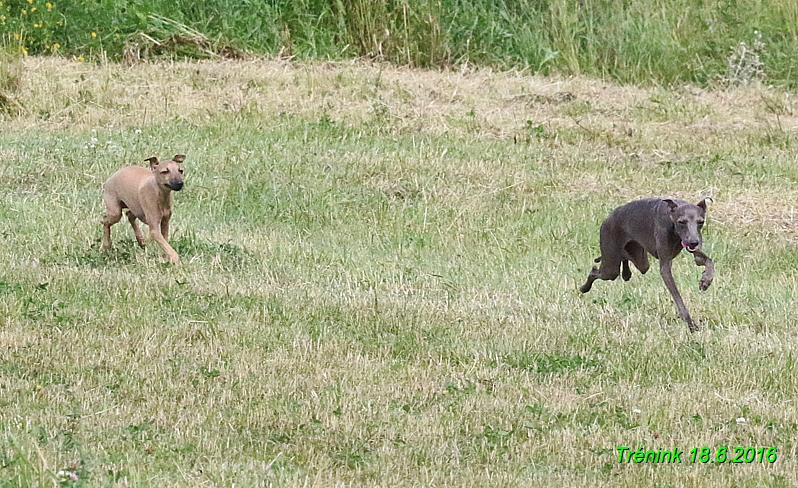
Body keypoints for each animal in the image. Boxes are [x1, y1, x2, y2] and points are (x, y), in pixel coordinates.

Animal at [580, 198, 712, 332]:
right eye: (681, 222)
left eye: (701, 222)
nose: (693, 242)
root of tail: (608, 218)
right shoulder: (665, 265)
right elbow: (677, 297)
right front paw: (691, 324)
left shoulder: (695, 248)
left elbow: (707, 261)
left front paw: (706, 280)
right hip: (611, 264)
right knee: (595, 271)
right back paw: (584, 288)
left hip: (639, 258)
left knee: (628, 259)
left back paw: (626, 273)